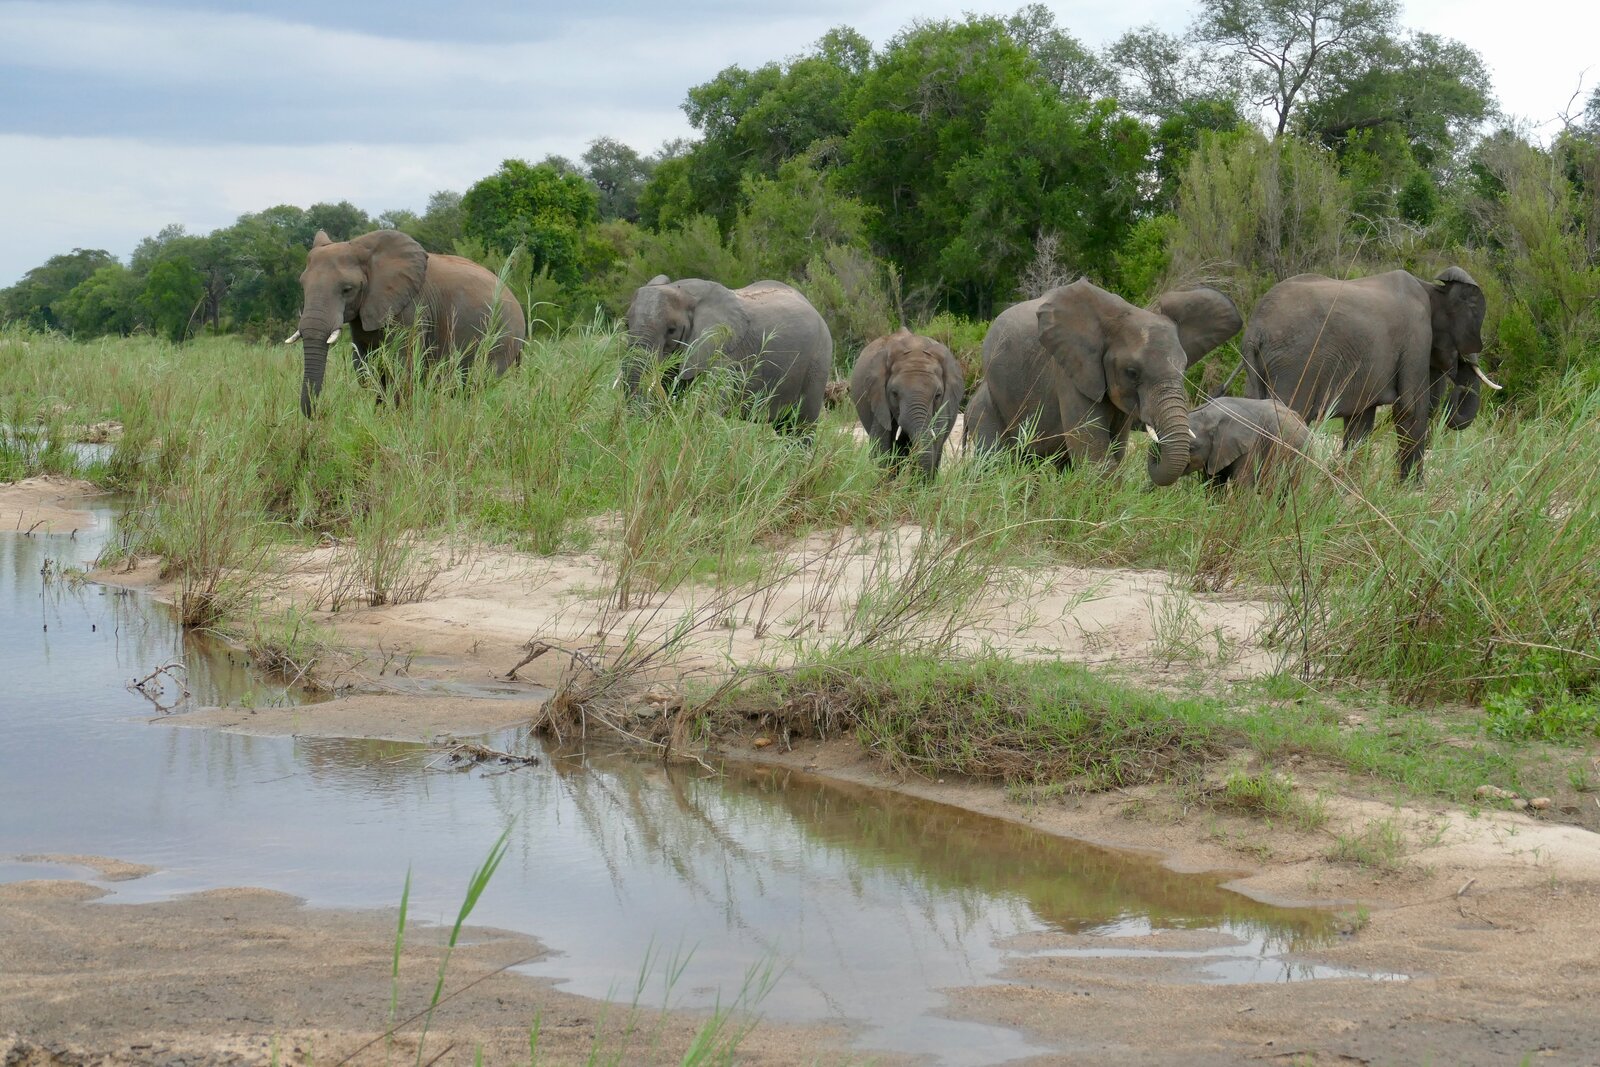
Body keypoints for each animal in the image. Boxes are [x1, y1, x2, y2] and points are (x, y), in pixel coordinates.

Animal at [290, 229, 526, 417]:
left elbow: (401, 370)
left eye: (347, 289)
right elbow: (369, 371)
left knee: (478, 384)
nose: (319, 413)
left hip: (501, 338)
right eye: (302, 285)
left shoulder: (411, 310)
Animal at [621, 275, 832, 432]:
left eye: (672, 330)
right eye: (626, 324)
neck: (683, 291)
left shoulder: (725, 353)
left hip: (818, 364)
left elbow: (705, 409)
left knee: (800, 429)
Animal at [966, 281, 1243, 485]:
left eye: (1183, 369)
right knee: (995, 462)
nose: (1155, 450)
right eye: (1132, 372)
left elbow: (1114, 454)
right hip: (988, 404)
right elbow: (1095, 458)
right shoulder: (1072, 373)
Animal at [1242, 267, 1499, 480]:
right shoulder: (1417, 336)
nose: (1459, 385)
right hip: (1295, 366)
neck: (1431, 287)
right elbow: (1411, 409)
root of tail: (1256, 329)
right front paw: (1411, 489)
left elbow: (1361, 422)